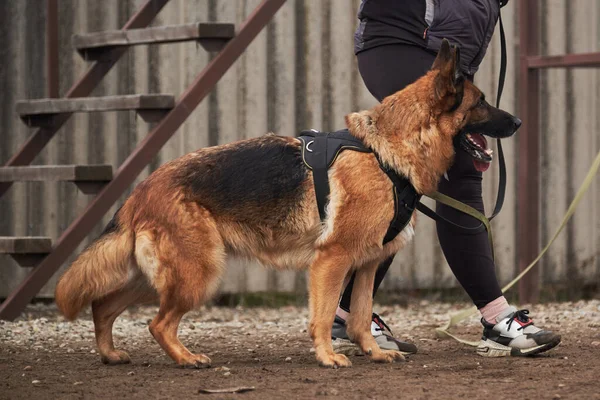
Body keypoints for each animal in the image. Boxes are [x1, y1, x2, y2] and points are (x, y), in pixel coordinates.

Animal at [55, 40, 520, 368]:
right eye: (481, 102)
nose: (517, 121)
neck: (386, 151)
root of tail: (141, 190)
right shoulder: (332, 260)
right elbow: (325, 315)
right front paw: (328, 356)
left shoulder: (367, 263)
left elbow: (359, 315)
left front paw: (373, 351)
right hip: (198, 271)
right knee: (156, 323)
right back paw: (187, 358)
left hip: (150, 274)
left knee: (103, 306)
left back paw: (111, 354)